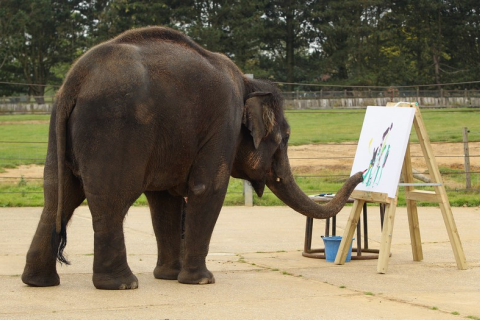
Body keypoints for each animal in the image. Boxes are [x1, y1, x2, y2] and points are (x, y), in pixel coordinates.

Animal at [20, 25, 362, 290]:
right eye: (284, 139)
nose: (362, 173)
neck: (248, 83)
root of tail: (75, 81)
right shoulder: (223, 122)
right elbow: (207, 188)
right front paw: (201, 281)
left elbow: (164, 201)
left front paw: (169, 277)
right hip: (113, 130)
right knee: (110, 200)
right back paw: (121, 284)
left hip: (60, 135)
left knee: (57, 196)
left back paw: (38, 282)